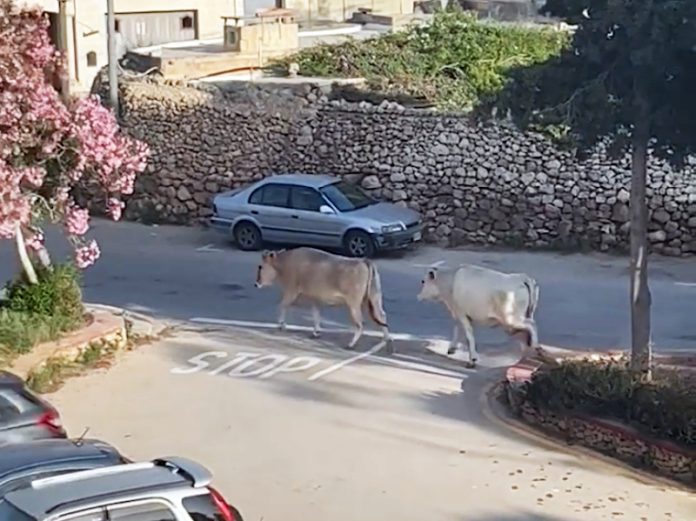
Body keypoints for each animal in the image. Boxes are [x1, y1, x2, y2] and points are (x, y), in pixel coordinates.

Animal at [255, 247, 393, 352]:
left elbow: (282, 305)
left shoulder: (291, 291)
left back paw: (351, 344)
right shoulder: (315, 298)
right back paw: (386, 340)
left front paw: (281, 324)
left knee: (359, 324)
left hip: (354, 304)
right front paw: (316, 332)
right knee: (382, 316)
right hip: (374, 298)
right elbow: (316, 314)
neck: (285, 262)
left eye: (260, 266)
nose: (256, 283)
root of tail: (364, 261)